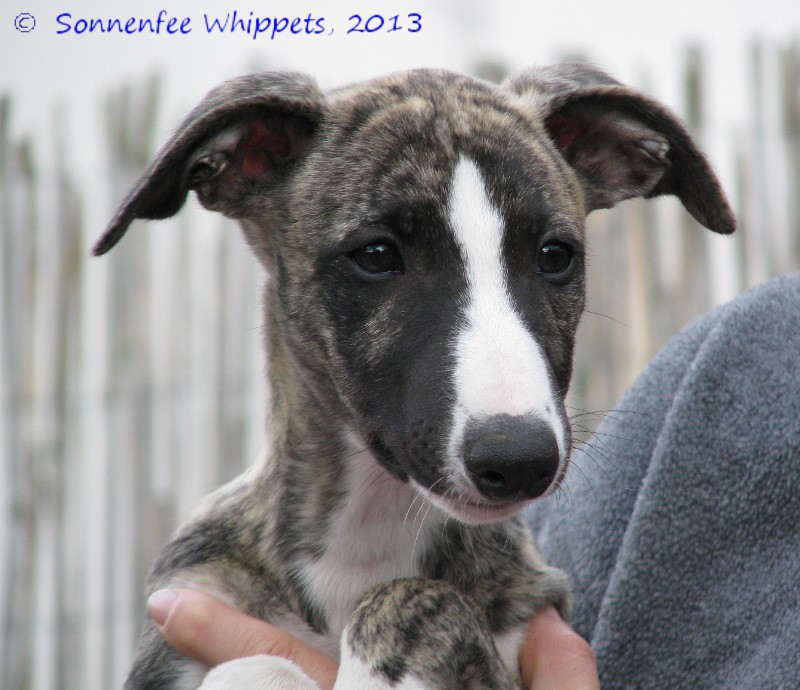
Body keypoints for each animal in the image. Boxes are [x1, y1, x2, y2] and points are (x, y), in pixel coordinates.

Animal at [94, 62, 735, 689]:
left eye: (555, 255)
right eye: (377, 255)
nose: (520, 460)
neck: (369, 533)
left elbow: (415, 598)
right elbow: (256, 664)